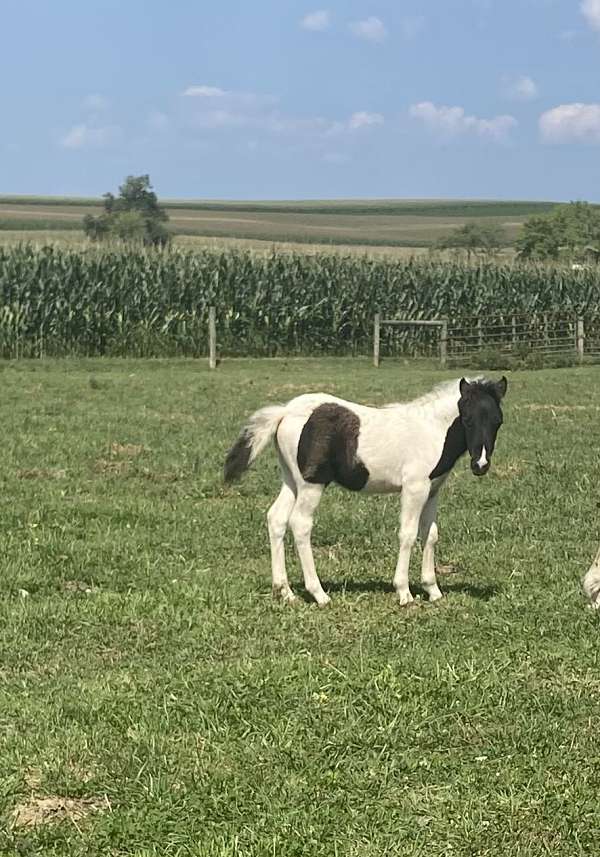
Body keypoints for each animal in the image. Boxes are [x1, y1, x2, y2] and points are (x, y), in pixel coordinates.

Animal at [225, 376, 506, 608]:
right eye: (467, 419)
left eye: (498, 422)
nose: (480, 465)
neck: (431, 431)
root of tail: (285, 412)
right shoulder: (414, 488)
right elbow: (408, 534)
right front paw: (404, 592)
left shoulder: (432, 490)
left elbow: (430, 535)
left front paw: (433, 590)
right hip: (311, 484)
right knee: (300, 524)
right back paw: (319, 594)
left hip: (292, 480)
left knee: (276, 519)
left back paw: (285, 591)